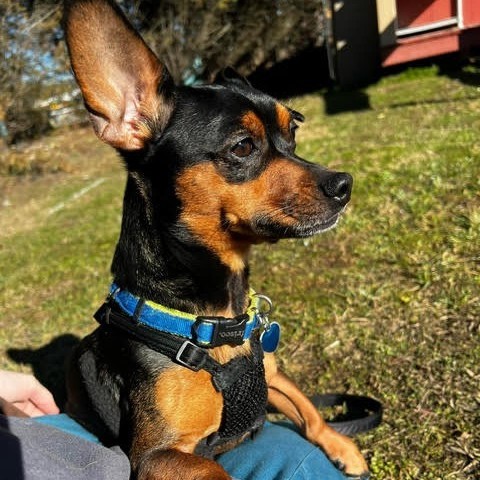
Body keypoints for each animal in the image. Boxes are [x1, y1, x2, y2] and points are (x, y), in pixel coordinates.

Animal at [63, 1, 370, 478]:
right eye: (242, 147)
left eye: (293, 132)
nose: (344, 185)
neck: (216, 321)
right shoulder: (156, 455)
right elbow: (216, 469)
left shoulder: (272, 377)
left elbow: (309, 409)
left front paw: (343, 445)